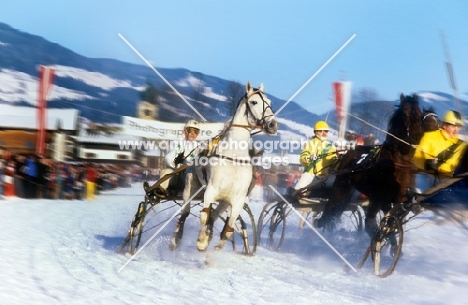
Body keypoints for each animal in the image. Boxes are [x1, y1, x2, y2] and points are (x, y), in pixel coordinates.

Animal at [195, 80, 276, 249]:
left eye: (270, 102)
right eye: (254, 102)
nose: (273, 124)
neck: (233, 156)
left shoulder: (237, 199)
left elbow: (227, 231)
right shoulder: (211, 190)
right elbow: (204, 216)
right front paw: (201, 241)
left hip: (224, 202)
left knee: (215, 216)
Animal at [318, 92, 436, 233]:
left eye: (419, 114)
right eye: (405, 113)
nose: (417, 136)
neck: (397, 161)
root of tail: (348, 152)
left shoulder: (398, 195)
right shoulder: (383, 197)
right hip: (341, 187)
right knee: (331, 210)